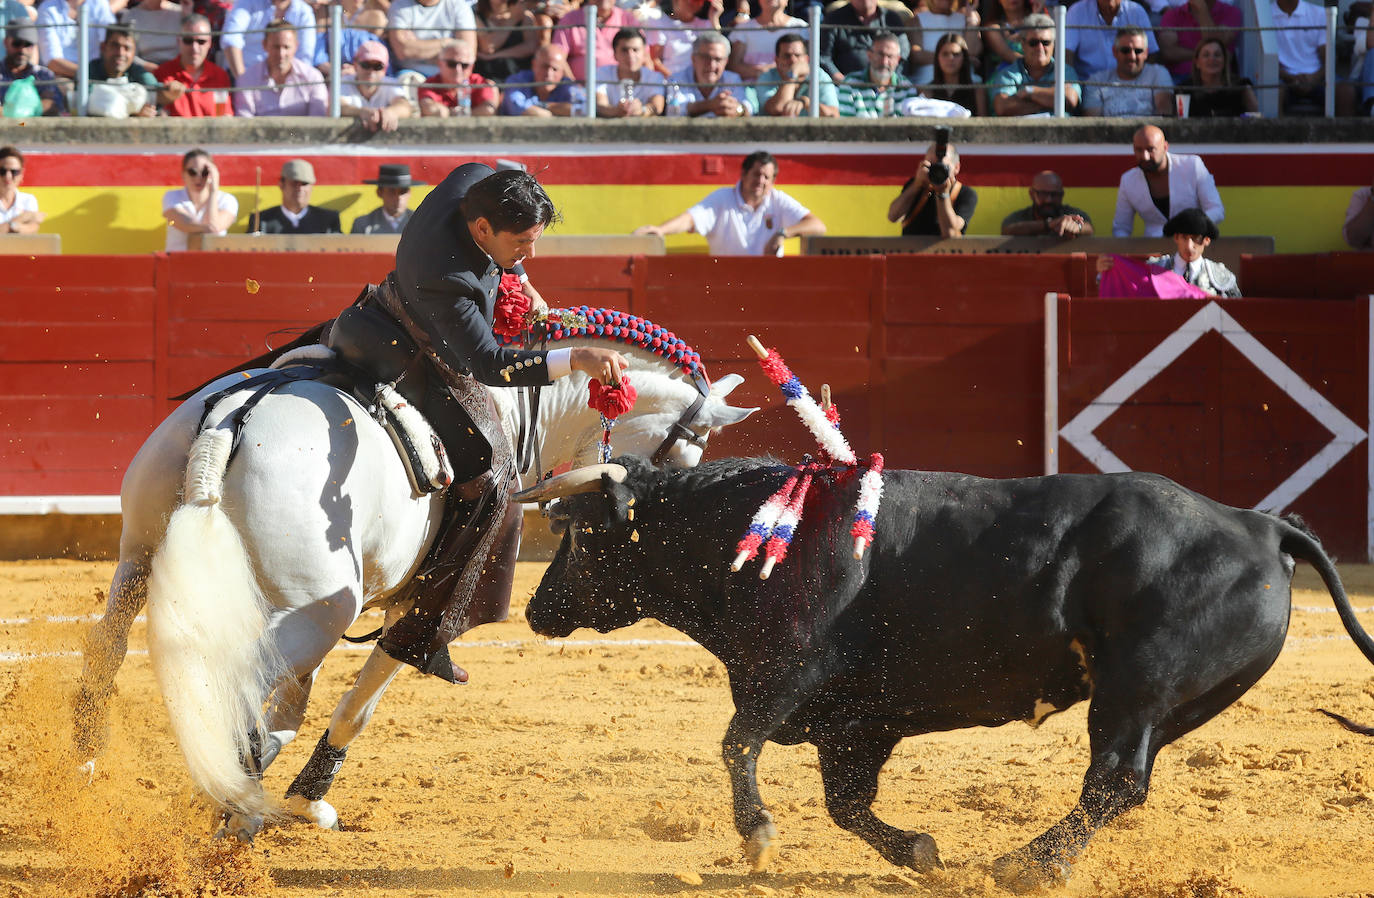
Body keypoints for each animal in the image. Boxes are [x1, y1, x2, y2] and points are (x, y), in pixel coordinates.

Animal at [75, 333, 758, 840]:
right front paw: (303, 800)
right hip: (321, 609)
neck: (519, 412)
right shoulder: (415, 607)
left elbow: (295, 704)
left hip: (139, 557)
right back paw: (236, 805)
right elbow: (357, 705)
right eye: (686, 458)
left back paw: (91, 759)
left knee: (110, 650)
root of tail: (234, 421)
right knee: (238, 686)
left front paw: (271, 785)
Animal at [516, 464, 1374, 895]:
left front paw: (757, 835)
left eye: (580, 534)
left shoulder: (789, 671)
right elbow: (846, 802)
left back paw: (1031, 866)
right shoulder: (856, 719)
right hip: (1173, 706)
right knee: (1125, 786)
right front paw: (921, 853)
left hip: (1135, 691)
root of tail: (1260, 523)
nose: (534, 610)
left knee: (1113, 779)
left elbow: (738, 745)